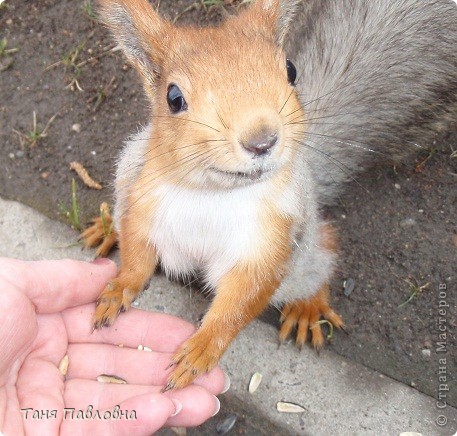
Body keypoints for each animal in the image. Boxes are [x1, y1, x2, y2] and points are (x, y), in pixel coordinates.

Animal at [82, 0, 456, 388]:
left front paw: (202, 349)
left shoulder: (270, 241)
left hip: (303, 250)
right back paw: (107, 228)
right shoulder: (142, 204)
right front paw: (118, 288)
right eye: (174, 98)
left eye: (291, 70)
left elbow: (241, 302)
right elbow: (137, 259)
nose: (261, 140)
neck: (213, 194)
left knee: (323, 252)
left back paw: (308, 306)